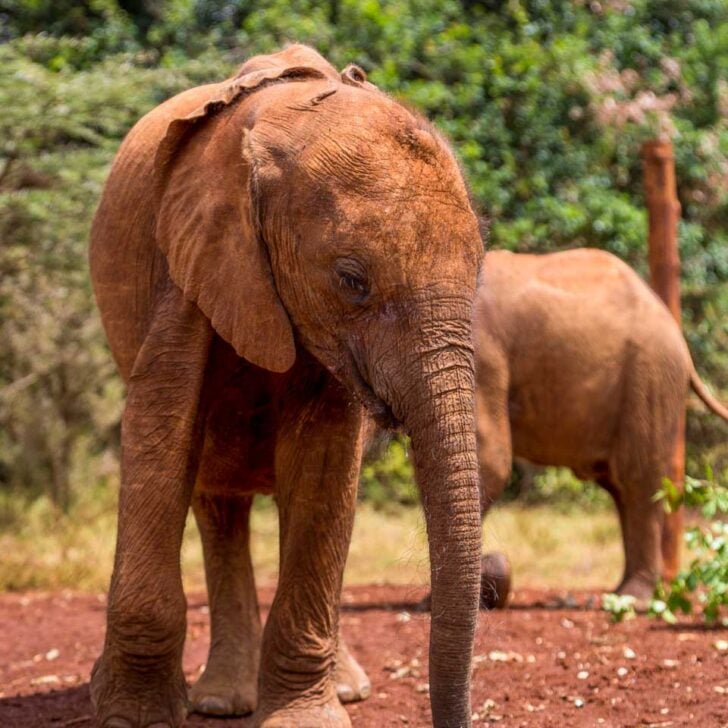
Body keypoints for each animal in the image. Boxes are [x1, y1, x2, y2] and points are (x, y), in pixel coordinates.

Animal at [89, 45, 484, 728]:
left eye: (481, 269)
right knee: (215, 499)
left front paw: (308, 718)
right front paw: (131, 716)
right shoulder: (192, 258)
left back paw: (339, 689)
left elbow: (324, 462)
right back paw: (220, 701)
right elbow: (160, 431)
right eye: (351, 280)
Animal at [474, 248, 728, 607]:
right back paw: (618, 595)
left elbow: (489, 461)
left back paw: (633, 599)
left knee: (638, 480)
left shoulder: (481, 350)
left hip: (649, 376)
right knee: (620, 488)